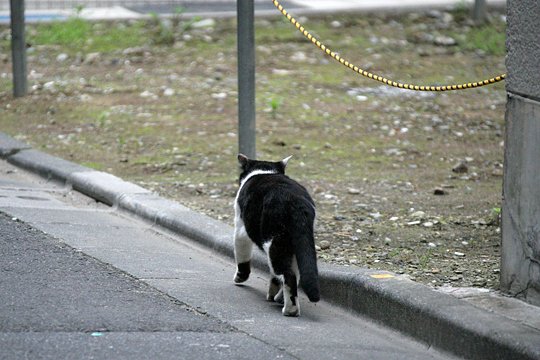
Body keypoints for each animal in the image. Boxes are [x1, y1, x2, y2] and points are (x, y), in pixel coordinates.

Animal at [233, 153, 318, 316]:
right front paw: (273, 293)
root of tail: (296, 201)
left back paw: (290, 309)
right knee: (295, 273)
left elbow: (242, 258)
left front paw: (240, 278)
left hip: (275, 243)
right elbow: (276, 277)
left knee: (288, 274)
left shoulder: (240, 228)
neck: (265, 171)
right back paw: (280, 298)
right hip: (296, 244)